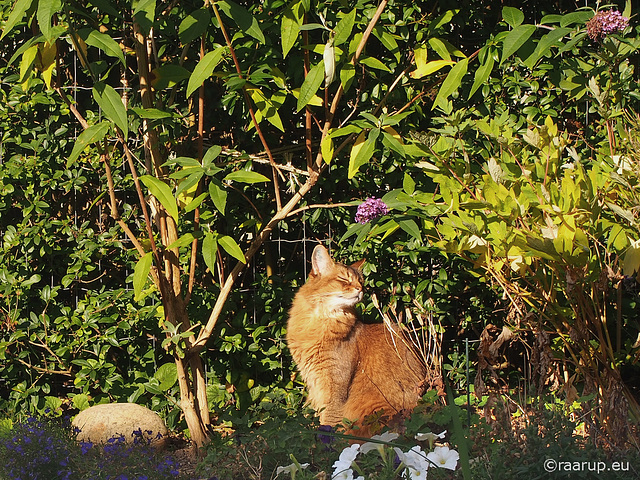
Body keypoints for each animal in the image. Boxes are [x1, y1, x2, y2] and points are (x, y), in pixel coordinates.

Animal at [288, 244, 428, 436]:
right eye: (343, 279)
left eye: (361, 281)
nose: (361, 289)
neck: (319, 320)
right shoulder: (315, 383)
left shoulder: (334, 388)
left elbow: (328, 422)